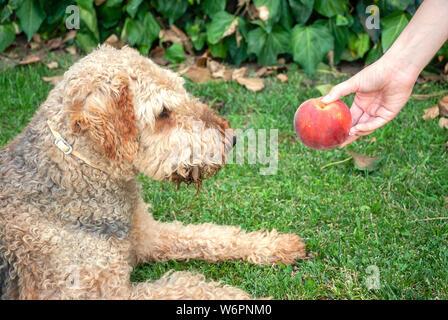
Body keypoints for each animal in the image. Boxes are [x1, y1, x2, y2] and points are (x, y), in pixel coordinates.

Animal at [0, 45, 304, 300]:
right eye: (163, 113)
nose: (232, 139)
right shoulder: (94, 292)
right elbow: (187, 286)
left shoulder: (147, 235)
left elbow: (210, 235)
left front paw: (276, 245)